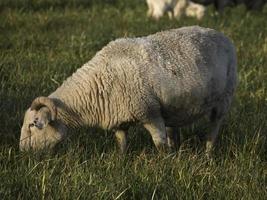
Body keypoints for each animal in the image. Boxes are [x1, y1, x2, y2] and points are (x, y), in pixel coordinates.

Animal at [20, 25, 239, 155]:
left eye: (33, 124)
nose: (22, 152)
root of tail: (220, 34)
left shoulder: (150, 114)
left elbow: (160, 146)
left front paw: (166, 167)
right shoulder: (119, 119)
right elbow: (122, 144)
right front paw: (121, 162)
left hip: (224, 99)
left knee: (214, 127)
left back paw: (209, 153)